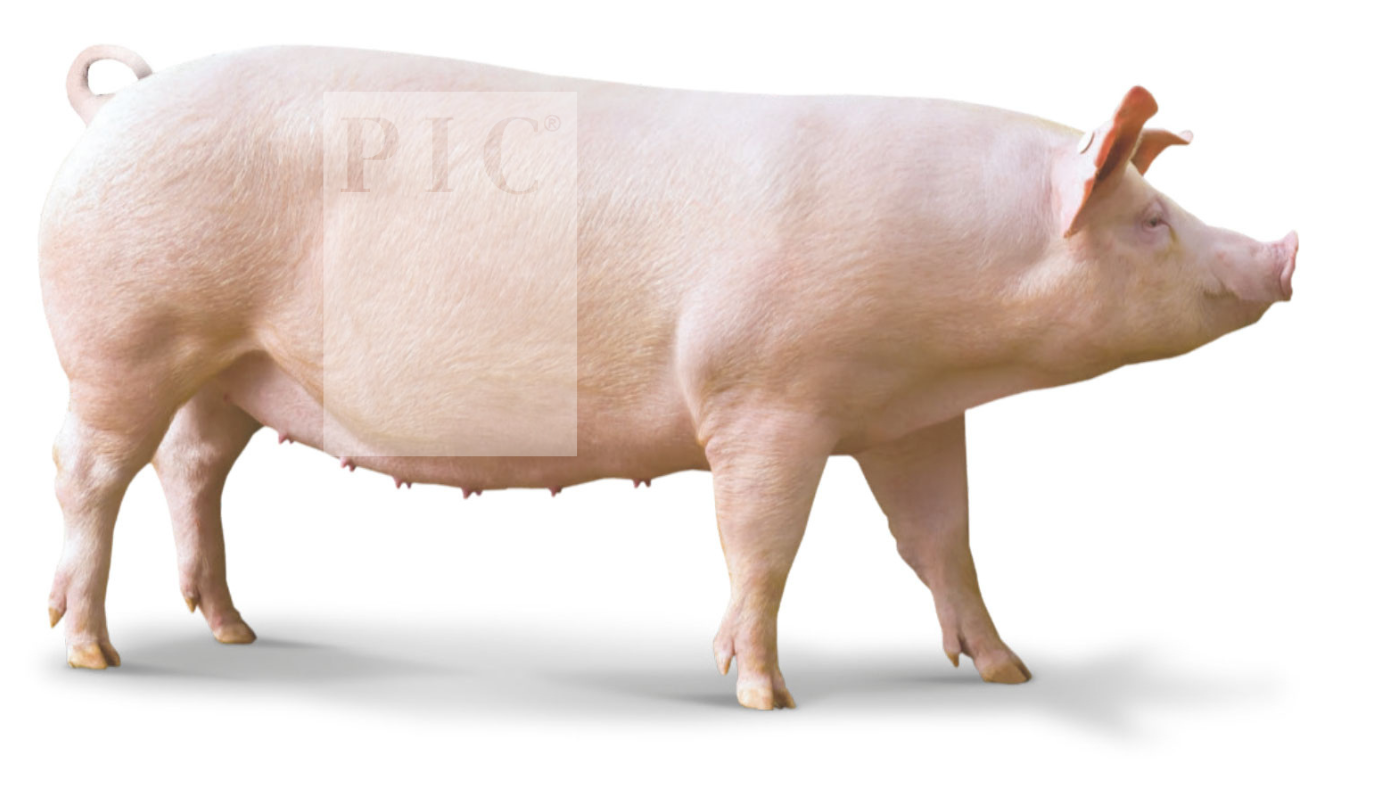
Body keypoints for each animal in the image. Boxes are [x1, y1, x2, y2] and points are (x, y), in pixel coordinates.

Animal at [39, 45, 1296, 710]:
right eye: (1147, 222)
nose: (1284, 251)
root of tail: (114, 105)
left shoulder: (904, 415)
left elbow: (941, 538)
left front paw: (1007, 671)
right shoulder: (764, 393)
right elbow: (762, 540)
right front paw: (764, 694)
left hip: (228, 366)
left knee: (191, 464)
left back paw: (234, 632)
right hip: (125, 333)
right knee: (89, 469)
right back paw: (94, 650)